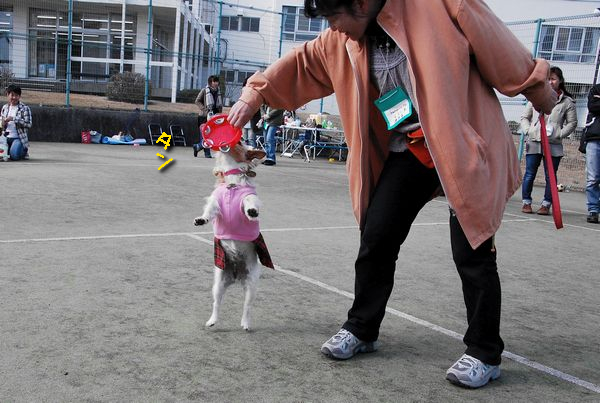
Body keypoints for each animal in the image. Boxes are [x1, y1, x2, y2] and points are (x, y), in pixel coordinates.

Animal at [195, 144, 274, 330]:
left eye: (239, 142)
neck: (232, 184)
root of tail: (237, 276)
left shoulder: (248, 197)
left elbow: (250, 202)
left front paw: (252, 212)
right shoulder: (215, 202)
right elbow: (209, 211)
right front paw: (201, 219)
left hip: (251, 284)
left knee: (247, 306)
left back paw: (245, 323)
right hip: (218, 284)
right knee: (217, 303)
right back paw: (212, 321)